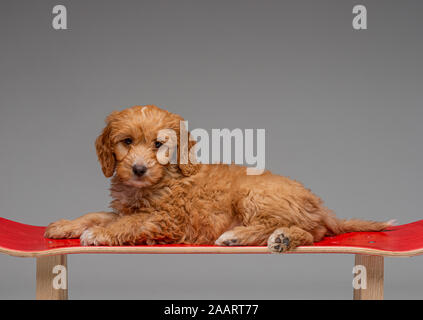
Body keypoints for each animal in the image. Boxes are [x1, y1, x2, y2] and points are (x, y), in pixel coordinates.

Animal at [44, 105, 392, 252]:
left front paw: (98, 234)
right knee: (312, 232)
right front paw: (66, 225)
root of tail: (320, 206)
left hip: (253, 196)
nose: (139, 169)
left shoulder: (165, 219)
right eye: (127, 142)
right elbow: (98, 214)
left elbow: (128, 223)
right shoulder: (127, 208)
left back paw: (246, 236)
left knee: (304, 231)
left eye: (158, 144)